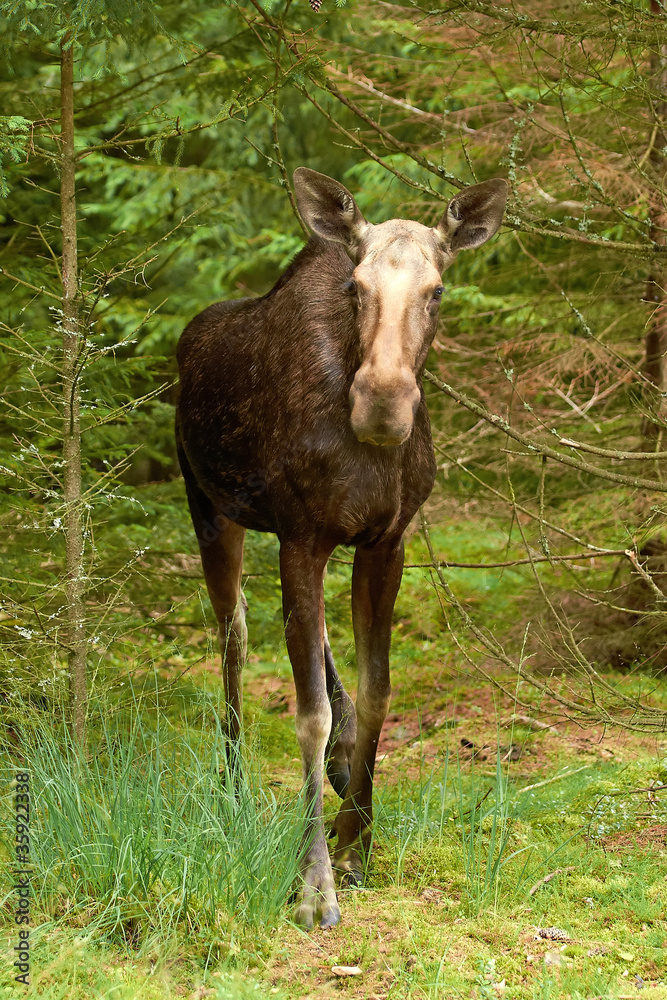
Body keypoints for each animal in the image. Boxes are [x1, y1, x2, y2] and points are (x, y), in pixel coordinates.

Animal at [175, 166, 508, 928]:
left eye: (438, 290)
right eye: (354, 287)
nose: (382, 402)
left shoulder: (384, 541)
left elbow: (378, 688)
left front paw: (358, 839)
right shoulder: (300, 538)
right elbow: (308, 715)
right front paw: (313, 884)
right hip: (210, 506)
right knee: (234, 636)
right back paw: (232, 786)